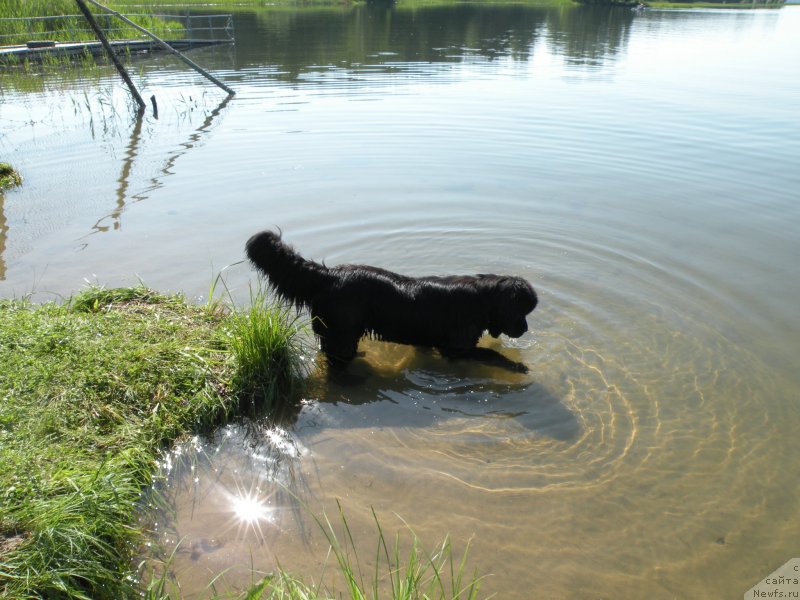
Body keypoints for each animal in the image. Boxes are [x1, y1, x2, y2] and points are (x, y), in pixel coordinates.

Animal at [245, 231, 536, 368]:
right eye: (521, 311)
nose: (525, 329)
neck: (483, 299)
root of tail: (328, 274)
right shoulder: (456, 348)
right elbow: (489, 353)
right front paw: (516, 366)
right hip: (342, 334)